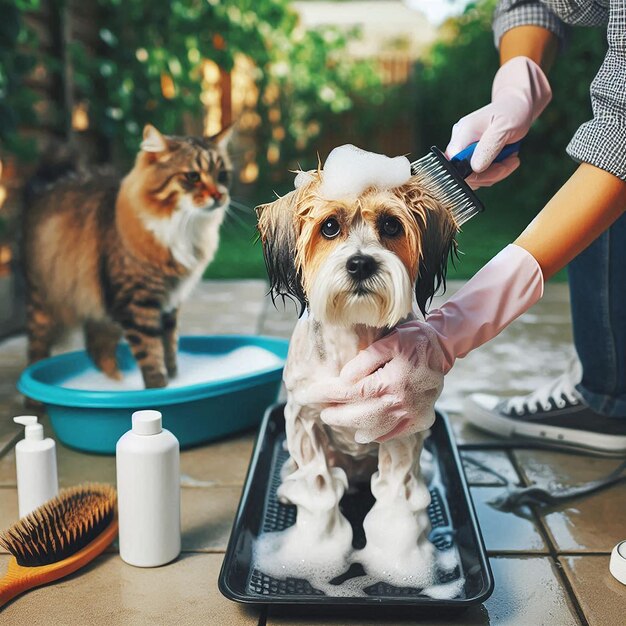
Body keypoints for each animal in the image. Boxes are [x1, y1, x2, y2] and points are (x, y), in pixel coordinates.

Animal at [22, 123, 232, 386]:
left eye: (222, 175)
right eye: (193, 176)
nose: (219, 196)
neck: (185, 228)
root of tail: (53, 181)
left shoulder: (169, 304)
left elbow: (170, 351)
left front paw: (176, 382)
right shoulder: (137, 303)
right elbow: (152, 356)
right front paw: (159, 389)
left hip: (100, 309)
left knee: (96, 348)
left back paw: (116, 382)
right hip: (43, 302)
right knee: (37, 351)